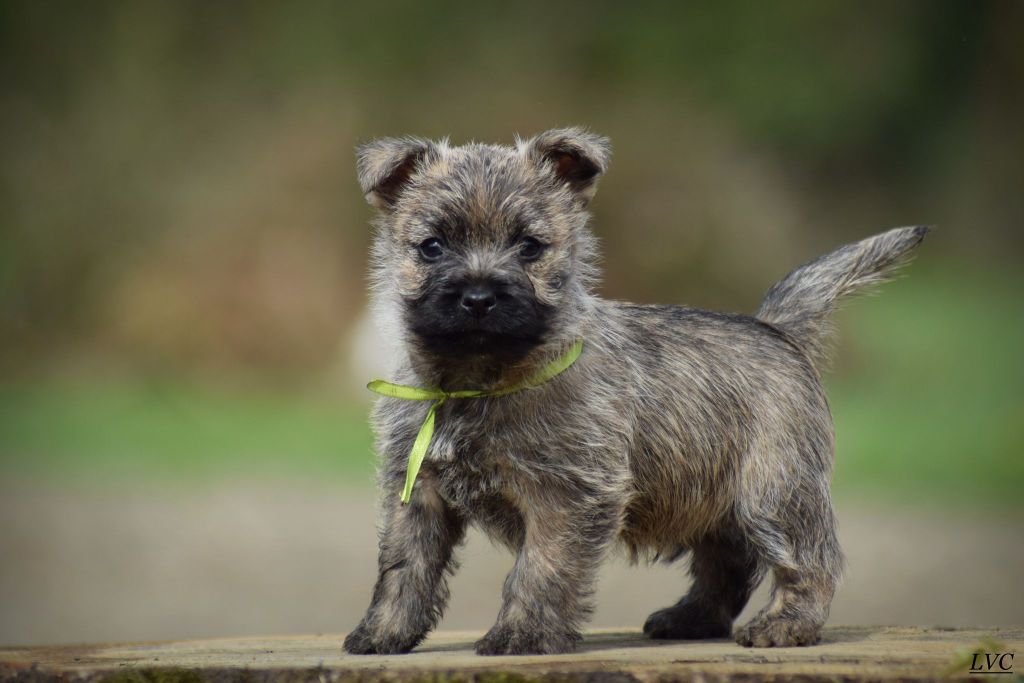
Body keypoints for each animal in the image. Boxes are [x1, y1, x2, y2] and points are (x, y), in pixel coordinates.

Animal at [342, 127, 929, 655]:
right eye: (432, 247)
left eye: (530, 246)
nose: (479, 297)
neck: (478, 382)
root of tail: (776, 328)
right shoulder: (417, 494)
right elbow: (403, 567)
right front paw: (383, 633)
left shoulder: (566, 496)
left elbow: (540, 568)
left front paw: (520, 635)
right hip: (716, 495)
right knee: (728, 563)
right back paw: (690, 619)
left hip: (775, 488)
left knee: (809, 559)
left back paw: (787, 624)